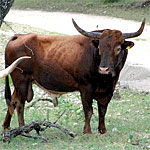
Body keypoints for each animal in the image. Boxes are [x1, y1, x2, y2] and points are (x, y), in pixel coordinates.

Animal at [3, 18, 145, 134]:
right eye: (100, 48)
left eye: (118, 48)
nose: (104, 69)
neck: (105, 79)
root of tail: (18, 36)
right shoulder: (86, 88)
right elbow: (88, 110)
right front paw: (87, 131)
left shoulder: (109, 90)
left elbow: (102, 110)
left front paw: (102, 130)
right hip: (21, 80)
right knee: (19, 104)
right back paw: (22, 128)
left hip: (21, 82)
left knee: (13, 101)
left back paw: (6, 126)